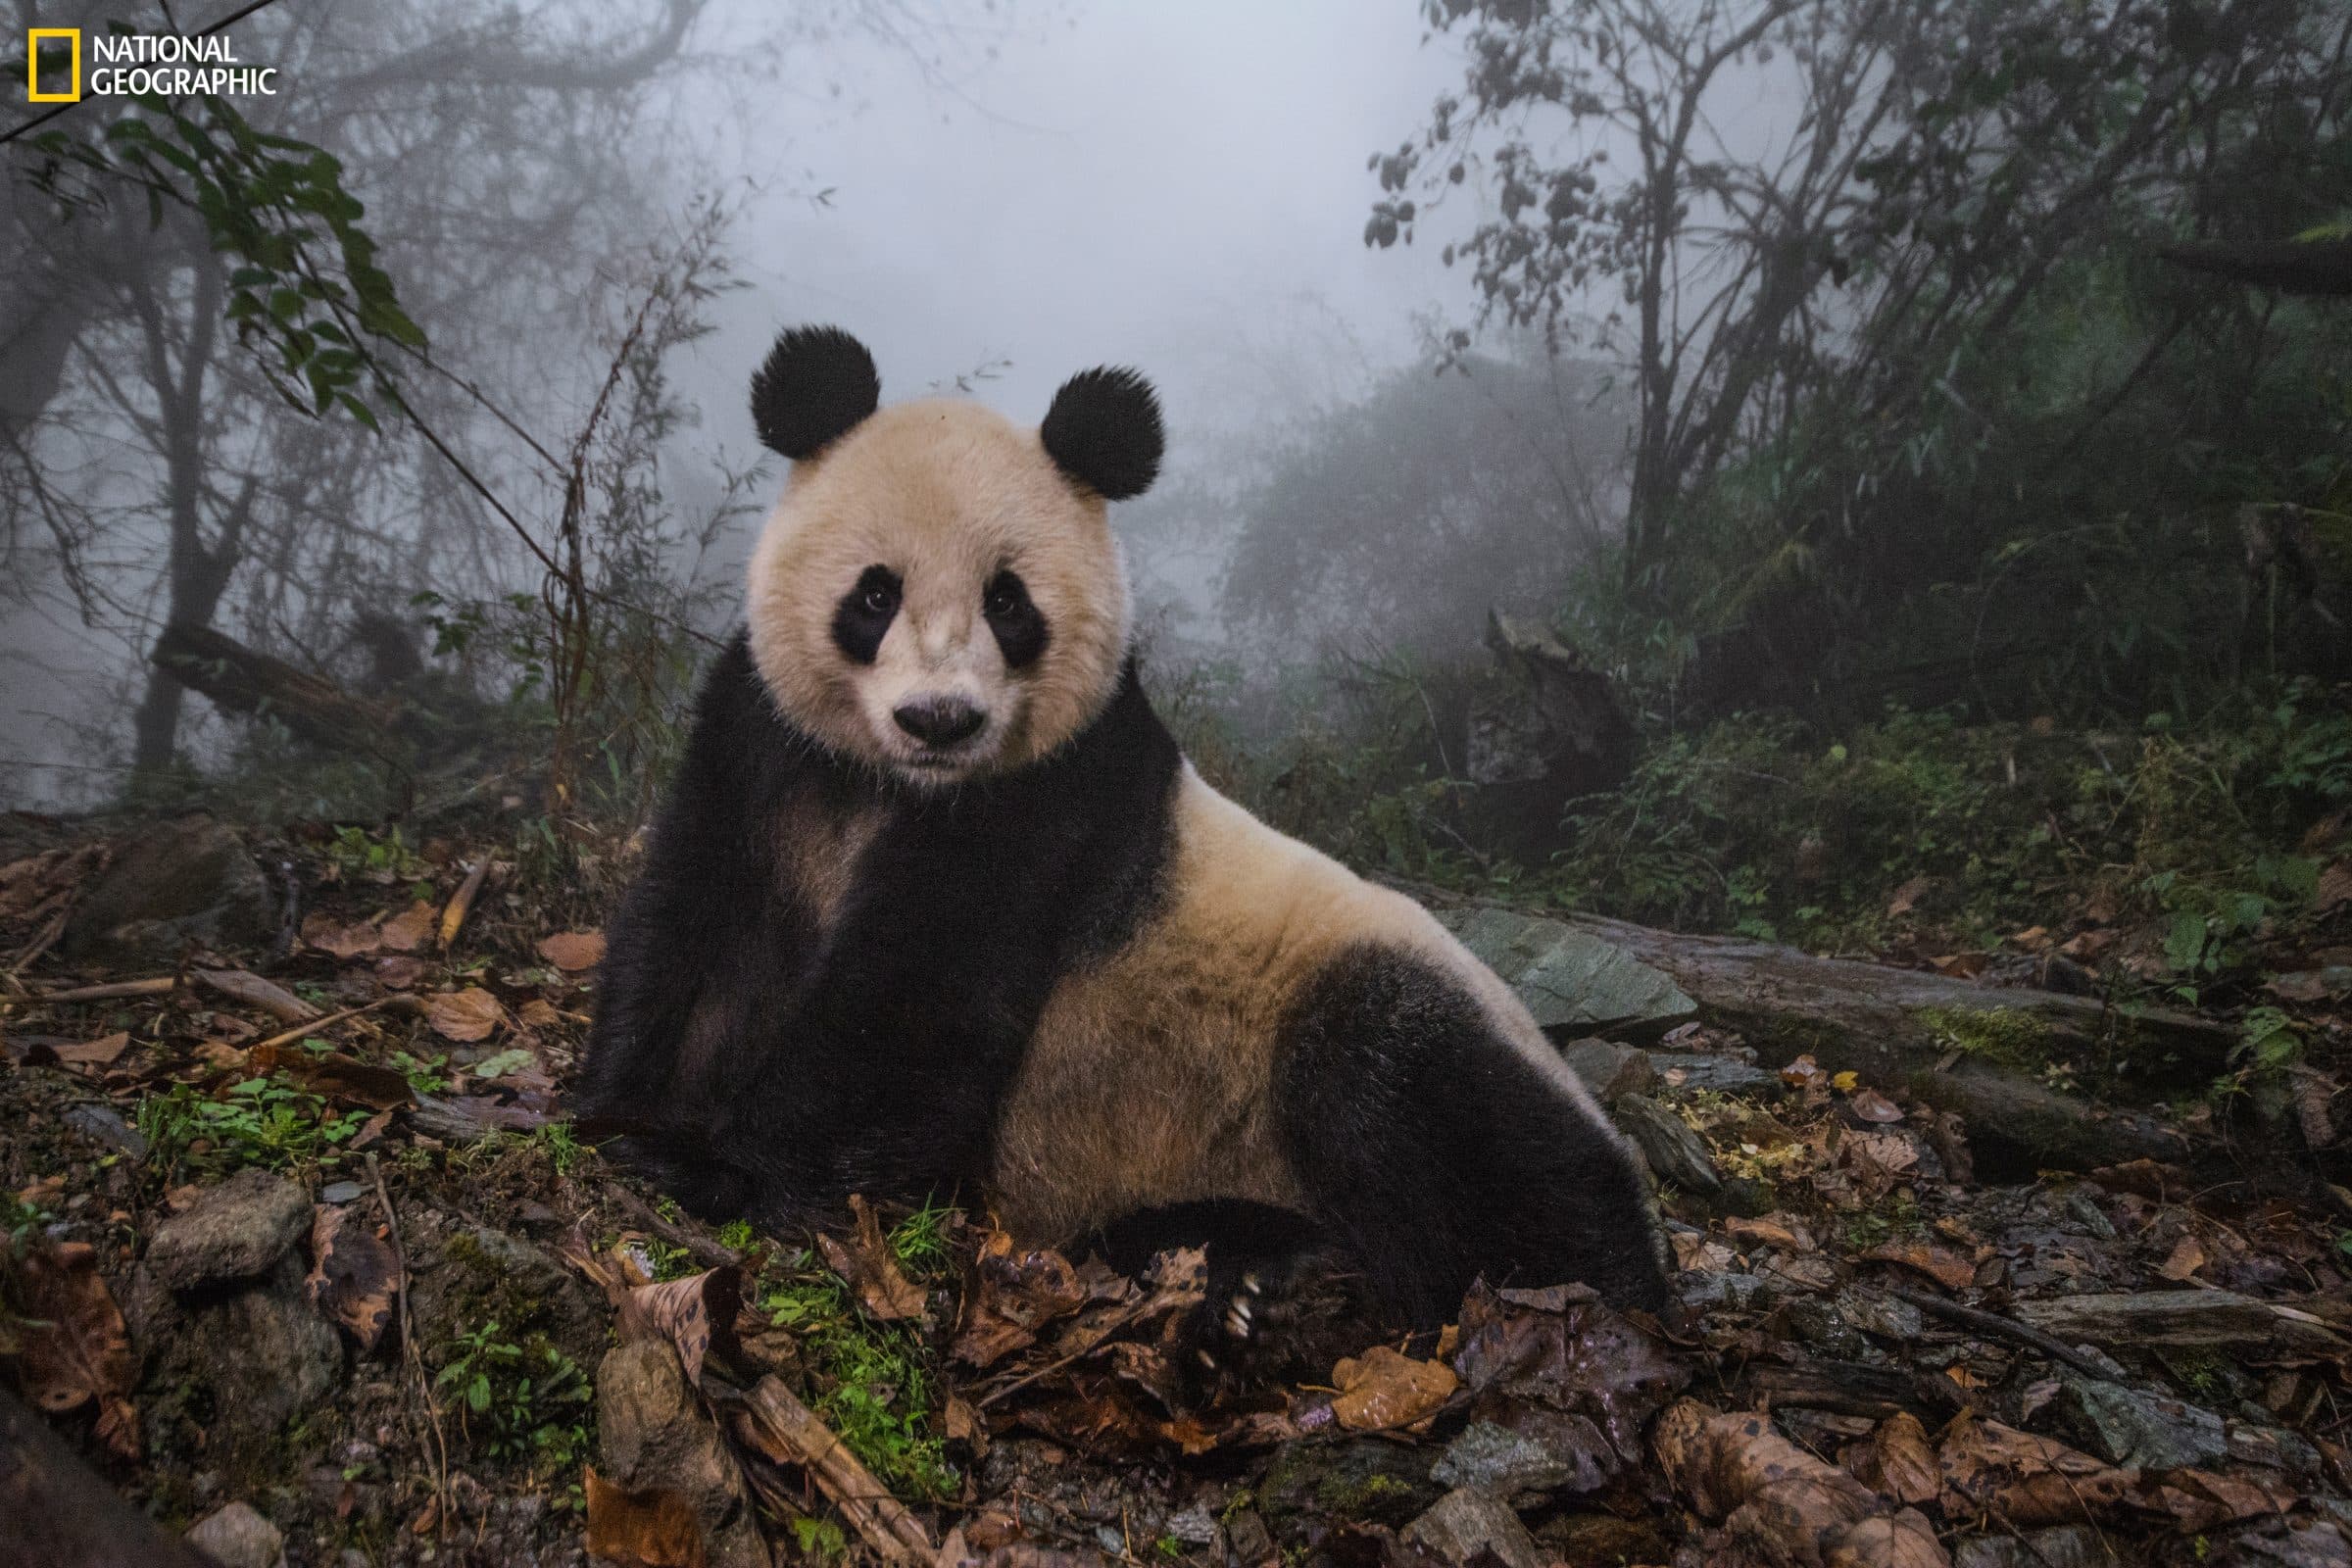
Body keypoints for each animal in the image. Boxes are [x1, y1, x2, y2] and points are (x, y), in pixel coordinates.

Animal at [577, 325, 1668, 1360]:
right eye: (874, 594)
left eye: (1008, 601)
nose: (941, 720)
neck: (894, 785)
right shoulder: (762, 741)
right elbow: (693, 919)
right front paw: (622, 1113)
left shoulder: (1052, 795)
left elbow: (913, 1005)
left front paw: (717, 1166)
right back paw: (1254, 1270)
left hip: (1379, 1003)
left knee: (1425, 1105)